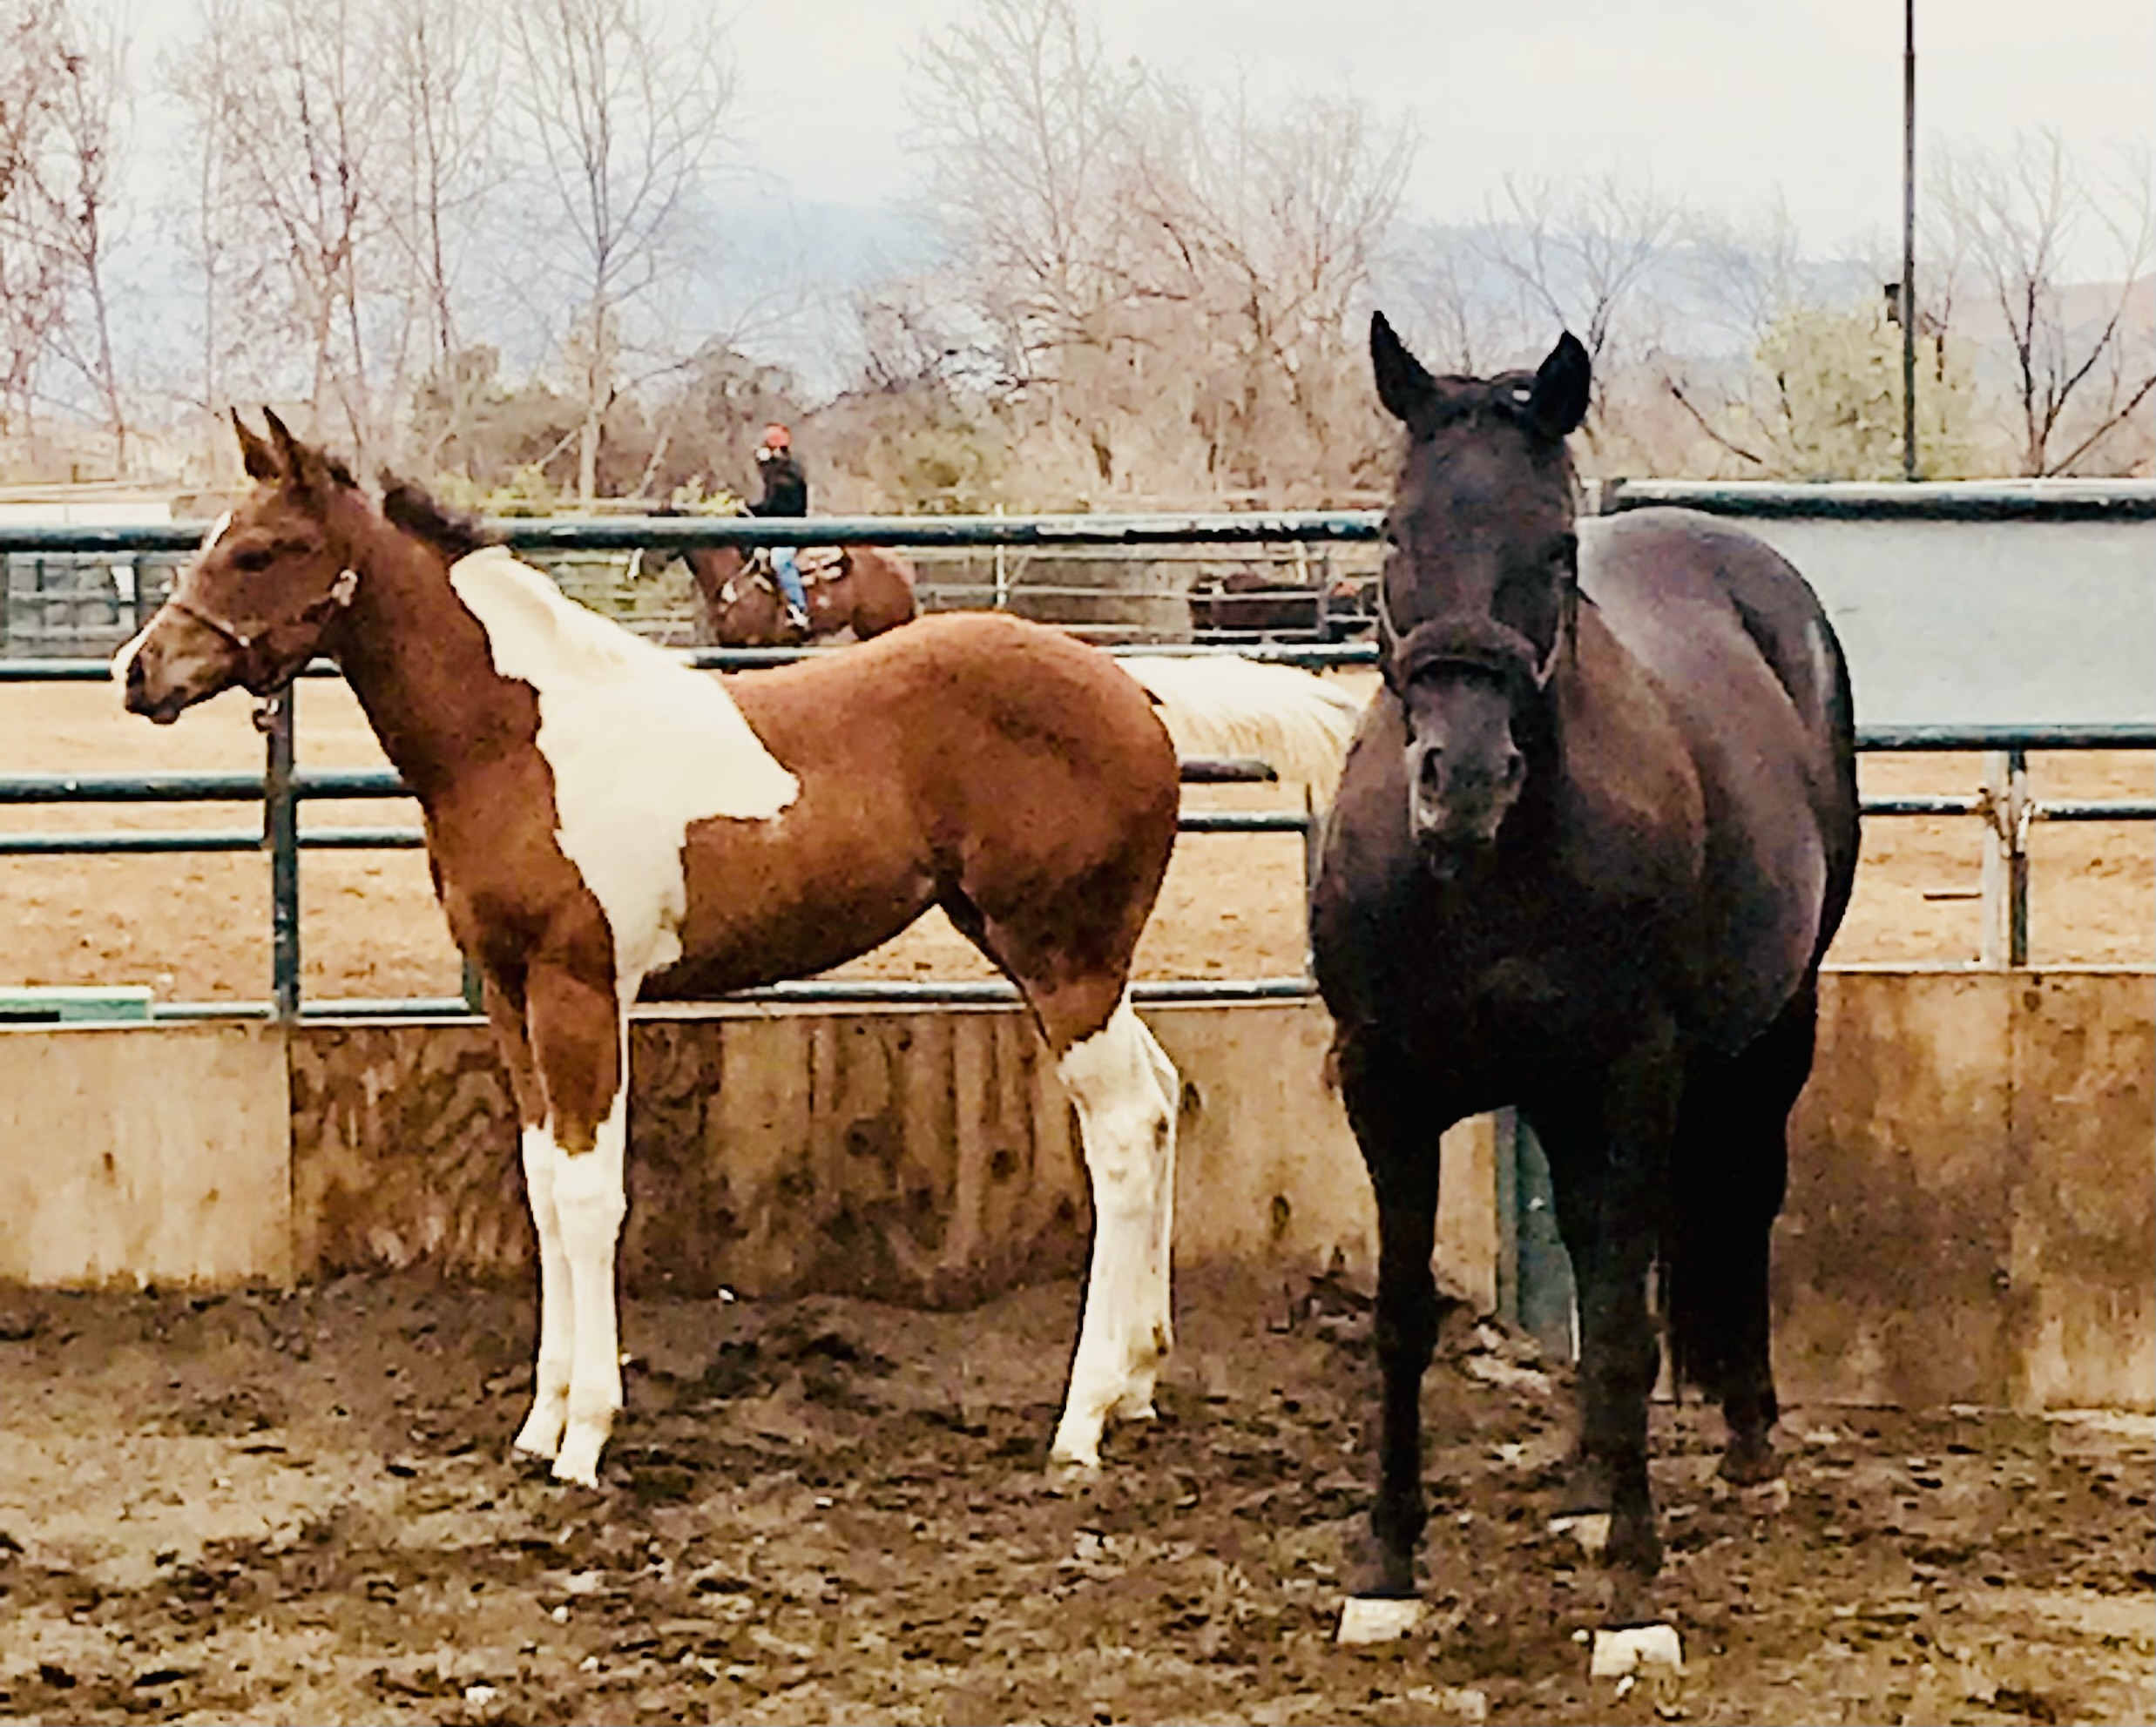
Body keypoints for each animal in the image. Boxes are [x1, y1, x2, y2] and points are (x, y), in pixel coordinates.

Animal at [113, 414, 1345, 1483]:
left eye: (262, 550)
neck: (521, 740)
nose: (138, 672)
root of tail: (1131, 686)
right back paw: (1137, 1383)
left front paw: (585, 1437)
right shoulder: (509, 994)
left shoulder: (580, 990)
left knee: (1125, 1133)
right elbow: (540, 1187)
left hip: (1061, 958)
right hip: (1069, 959)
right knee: (1164, 1095)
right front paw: (539, 1422)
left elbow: (588, 1196)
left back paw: (1081, 1422)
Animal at [1301, 319, 1862, 1621]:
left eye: (1552, 548)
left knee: (1737, 1201)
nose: (1460, 779)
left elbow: (1618, 1325)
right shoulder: (1384, 1084)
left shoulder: (1631, 1076)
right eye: (1393, 531)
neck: (1481, 875)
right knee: (1597, 1241)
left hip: (1775, 1028)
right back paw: (1583, 1472)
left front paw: (1634, 1599)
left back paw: (1744, 1446)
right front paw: (1384, 1568)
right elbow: (1404, 1319)